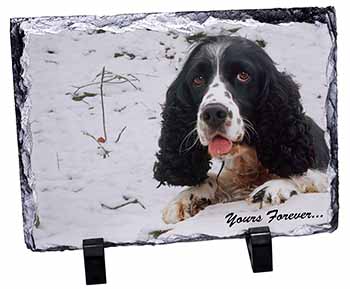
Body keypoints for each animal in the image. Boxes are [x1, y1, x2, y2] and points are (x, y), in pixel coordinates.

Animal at [152, 36, 328, 224]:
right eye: (197, 79)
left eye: (243, 76)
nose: (213, 113)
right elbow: (214, 179)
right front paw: (186, 197)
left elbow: (307, 175)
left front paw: (274, 187)